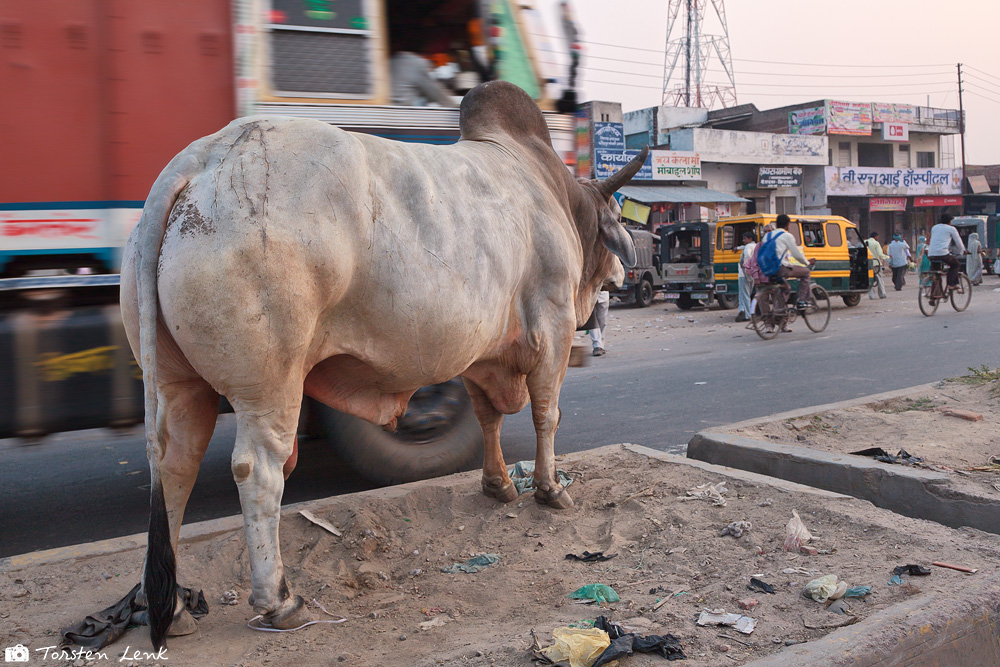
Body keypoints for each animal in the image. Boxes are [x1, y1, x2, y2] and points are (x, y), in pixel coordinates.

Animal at [119, 78, 648, 648]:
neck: (555, 194)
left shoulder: (480, 353)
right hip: (271, 385)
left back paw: (170, 606)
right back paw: (280, 600)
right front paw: (550, 491)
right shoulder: (552, 328)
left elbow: (488, 418)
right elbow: (546, 415)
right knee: (258, 470)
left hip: (179, 384)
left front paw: (499, 485)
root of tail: (205, 156)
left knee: (175, 467)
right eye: (617, 219)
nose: (624, 273)